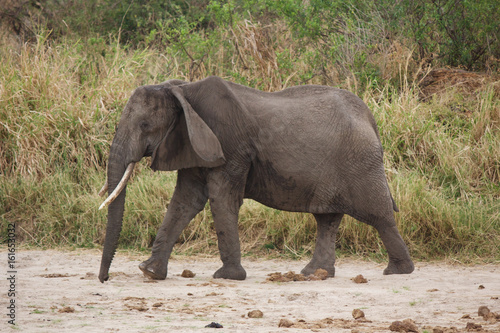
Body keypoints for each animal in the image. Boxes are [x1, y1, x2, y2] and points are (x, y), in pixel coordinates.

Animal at [96, 76, 414, 282]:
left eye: (145, 125)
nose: (105, 279)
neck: (183, 90)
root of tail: (369, 118)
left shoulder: (231, 145)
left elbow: (221, 199)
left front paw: (228, 277)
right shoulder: (192, 143)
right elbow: (185, 201)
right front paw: (149, 271)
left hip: (360, 163)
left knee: (379, 215)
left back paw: (398, 271)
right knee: (327, 218)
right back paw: (314, 274)